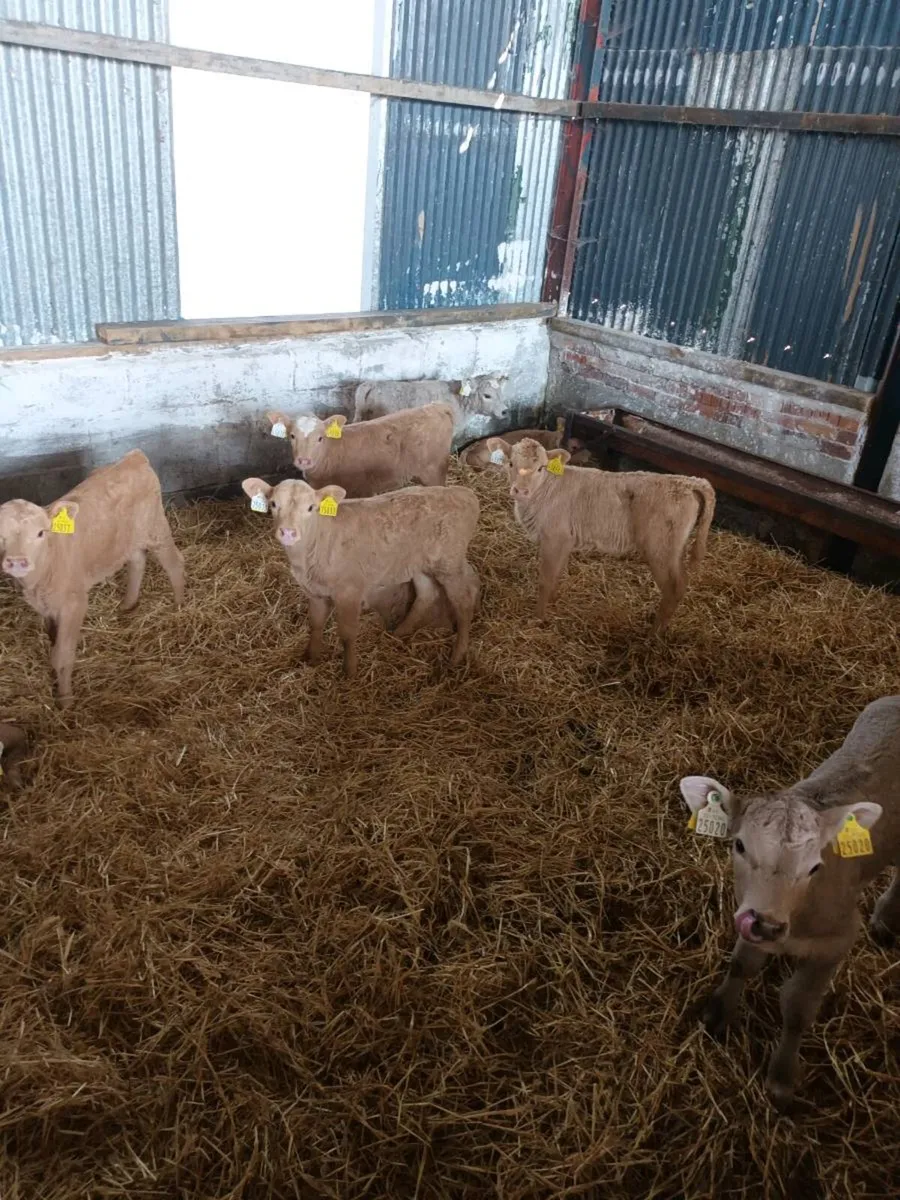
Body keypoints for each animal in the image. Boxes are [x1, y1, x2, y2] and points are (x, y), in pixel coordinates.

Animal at [0, 451, 184, 706]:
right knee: (137, 560)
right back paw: (128, 604)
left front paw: (65, 699)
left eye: (40, 533)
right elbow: (52, 642)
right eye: (0, 535)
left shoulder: (75, 603)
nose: (17, 561)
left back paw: (178, 607)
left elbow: (63, 655)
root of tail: (134, 457)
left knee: (174, 563)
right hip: (126, 539)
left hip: (155, 526)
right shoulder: (46, 607)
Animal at [241, 476, 480, 677]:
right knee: (426, 593)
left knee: (464, 599)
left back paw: (457, 655)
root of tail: (464, 493)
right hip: (418, 562)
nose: (288, 533)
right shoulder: (315, 592)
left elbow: (347, 633)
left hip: (450, 563)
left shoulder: (349, 591)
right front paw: (311, 658)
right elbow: (315, 624)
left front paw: (349, 672)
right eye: (273, 504)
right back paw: (399, 632)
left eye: (311, 508)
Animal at [486, 436, 715, 628]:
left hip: (660, 549)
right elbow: (557, 574)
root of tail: (689, 482)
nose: (521, 491)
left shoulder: (554, 538)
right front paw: (553, 601)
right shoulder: (565, 541)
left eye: (541, 468)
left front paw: (538, 618)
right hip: (674, 550)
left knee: (674, 588)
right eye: (511, 463)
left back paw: (655, 634)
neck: (546, 490)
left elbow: (545, 580)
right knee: (682, 582)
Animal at [681, 695, 900, 1105]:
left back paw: (884, 919)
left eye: (815, 866)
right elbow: (741, 965)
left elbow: (798, 1007)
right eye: (739, 845)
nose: (766, 924)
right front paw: (717, 1014)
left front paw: (781, 1077)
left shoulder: (837, 940)